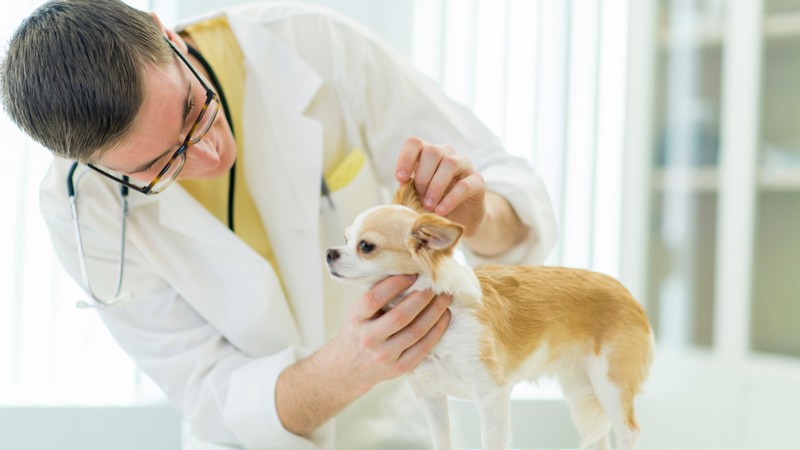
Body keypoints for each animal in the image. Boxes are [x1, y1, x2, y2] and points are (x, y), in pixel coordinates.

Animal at [326, 183, 656, 450]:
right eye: (344, 238)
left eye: (366, 246)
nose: (330, 252)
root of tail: (628, 294)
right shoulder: (431, 397)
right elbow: (442, 442)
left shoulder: (491, 395)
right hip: (580, 387)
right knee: (599, 436)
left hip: (610, 382)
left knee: (628, 431)